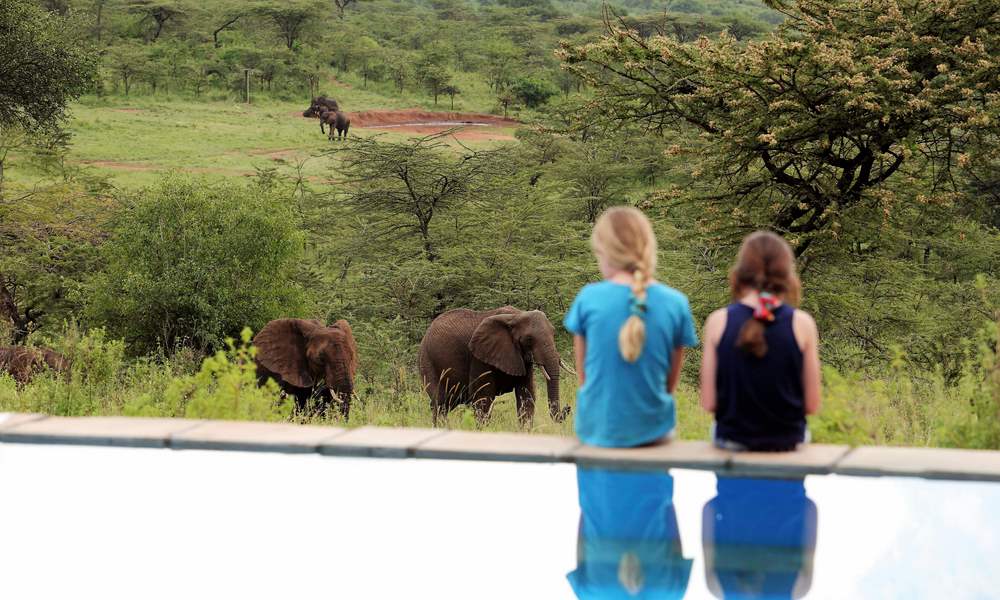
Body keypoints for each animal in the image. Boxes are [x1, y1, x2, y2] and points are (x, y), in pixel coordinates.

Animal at [414, 304, 572, 426]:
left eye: (553, 333)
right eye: (528, 339)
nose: (568, 407)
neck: (516, 315)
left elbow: (526, 396)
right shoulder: (479, 356)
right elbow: (483, 399)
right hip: (427, 361)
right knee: (440, 404)